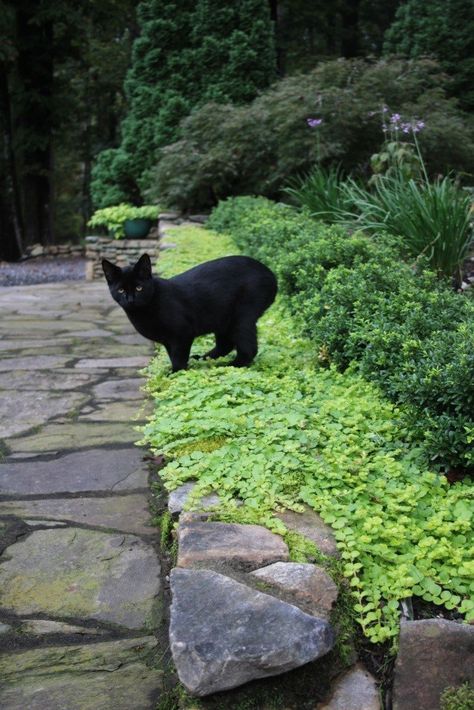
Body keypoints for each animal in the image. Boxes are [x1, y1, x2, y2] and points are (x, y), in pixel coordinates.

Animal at [101, 253, 278, 372]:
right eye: (121, 290)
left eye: (139, 288)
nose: (130, 299)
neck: (144, 312)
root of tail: (270, 273)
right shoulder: (168, 341)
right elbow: (172, 355)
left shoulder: (182, 334)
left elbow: (178, 357)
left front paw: (175, 373)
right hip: (222, 319)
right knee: (225, 344)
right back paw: (203, 359)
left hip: (241, 317)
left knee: (249, 348)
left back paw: (231, 365)